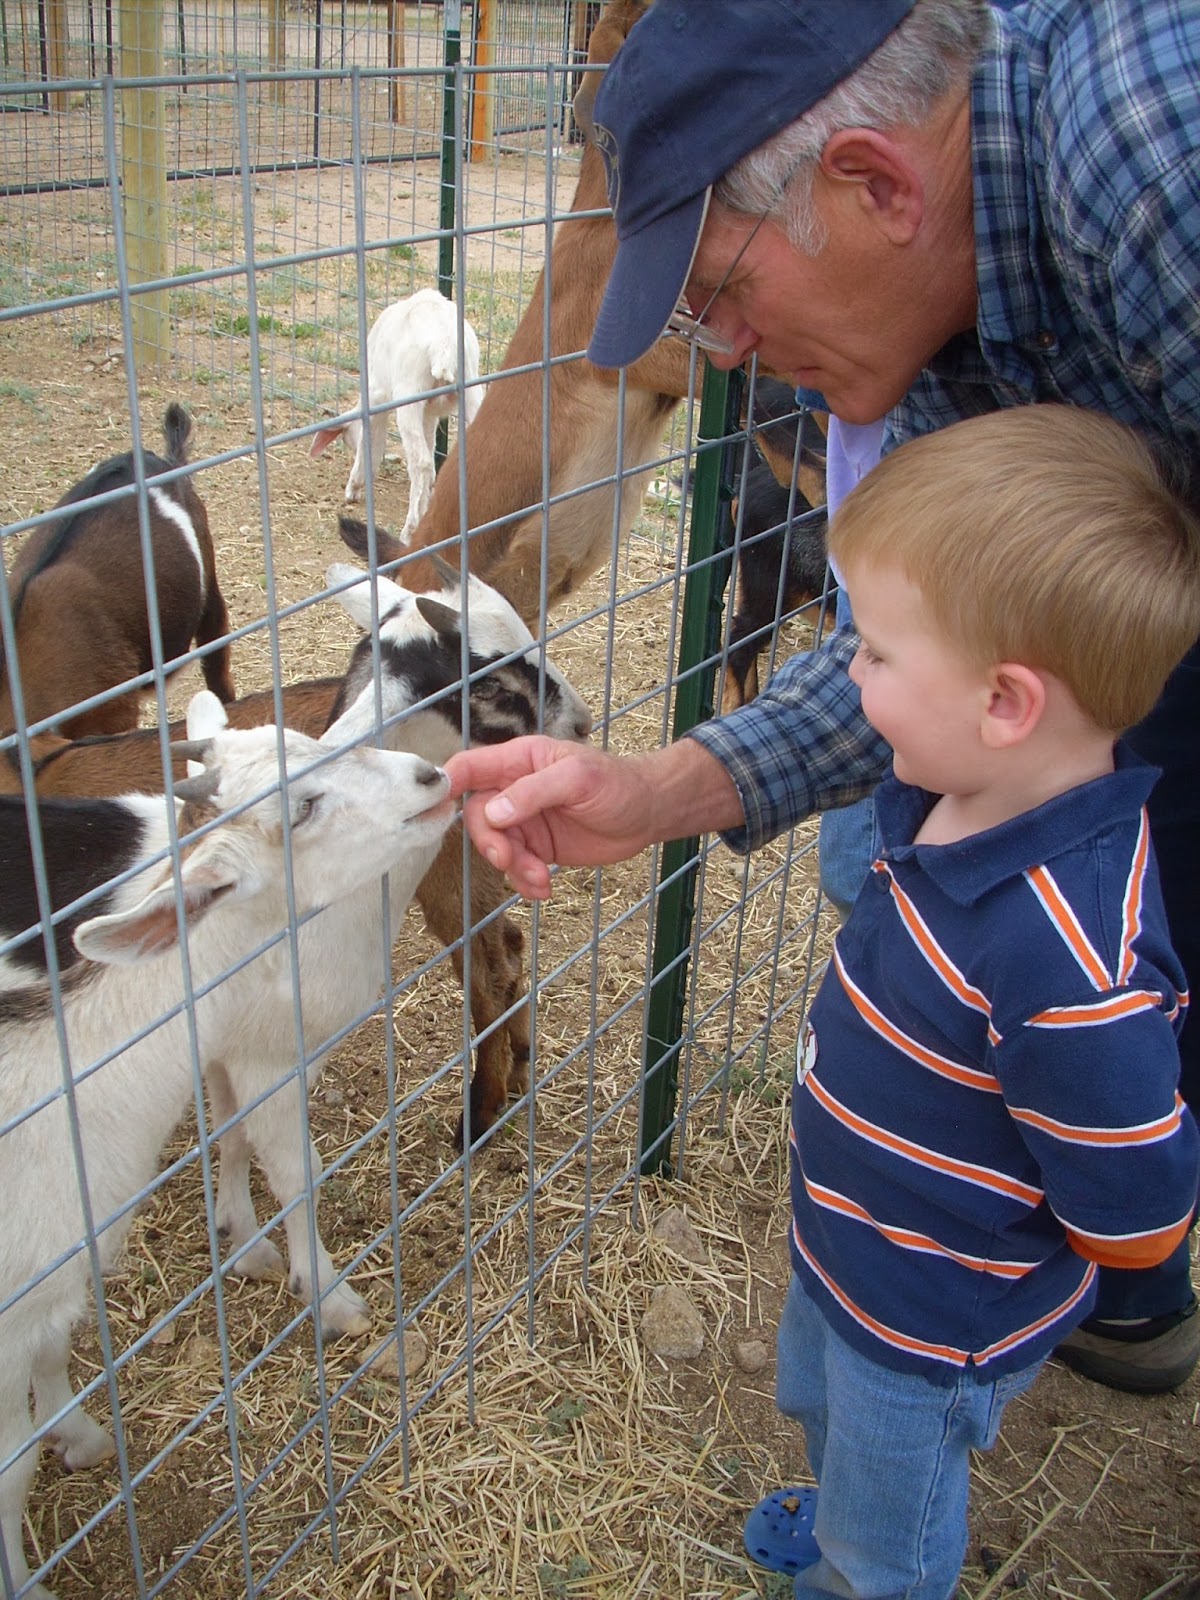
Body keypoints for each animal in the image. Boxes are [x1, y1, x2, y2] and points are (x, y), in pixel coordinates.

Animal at [310, 289, 484, 542]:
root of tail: (444, 344)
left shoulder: (376, 397)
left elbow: (372, 444)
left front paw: (353, 488)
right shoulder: (429, 414)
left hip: (409, 394)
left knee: (420, 462)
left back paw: (409, 529)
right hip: (471, 386)